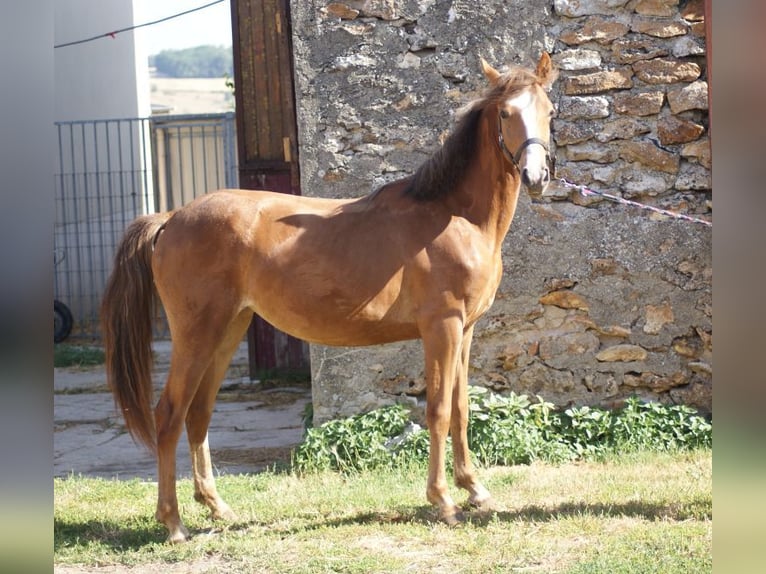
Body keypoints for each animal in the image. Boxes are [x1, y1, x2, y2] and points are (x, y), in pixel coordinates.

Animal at [101, 53, 557, 543]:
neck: (454, 216)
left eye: (550, 111)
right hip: (196, 334)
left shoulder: (466, 330)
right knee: (169, 415)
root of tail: (171, 218)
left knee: (197, 415)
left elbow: (460, 409)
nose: (535, 177)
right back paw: (173, 522)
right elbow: (436, 410)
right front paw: (443, 500)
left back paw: (217, 507)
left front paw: (475, 489)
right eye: (505, 113)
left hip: (226, 332)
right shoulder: (443, 327)